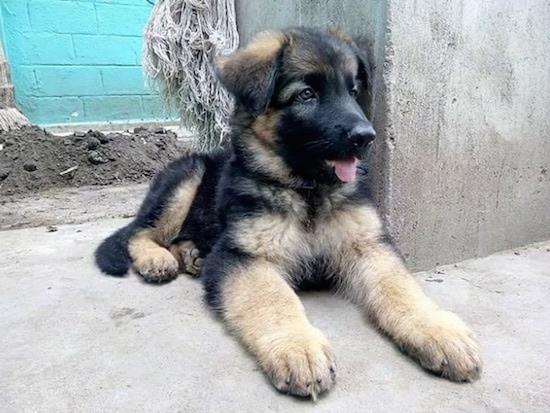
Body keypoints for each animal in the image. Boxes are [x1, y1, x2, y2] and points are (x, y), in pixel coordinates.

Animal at [95, 27, 484, 398]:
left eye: (352, 91)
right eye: (306, 95)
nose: (366, 137)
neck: (308, 191)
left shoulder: (368, 245)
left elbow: (400, 288)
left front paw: (439, 331)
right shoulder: (244, 256)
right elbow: (273, 298)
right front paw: (298, 349)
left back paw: (192, 255)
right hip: (186, 178)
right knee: (140, 232)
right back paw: (156, 259)